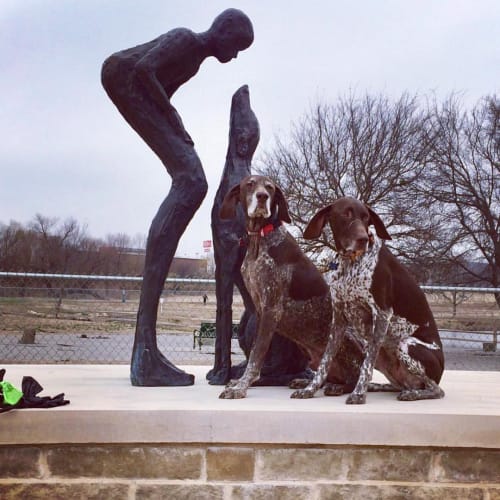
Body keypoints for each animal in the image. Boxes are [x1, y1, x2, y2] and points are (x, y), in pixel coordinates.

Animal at [217, 176, 362, 398]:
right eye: (250, 184)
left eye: (270, 187)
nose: (262, 196)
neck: (260, 238)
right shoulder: (259, 310)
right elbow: (254, 351)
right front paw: (239, 383)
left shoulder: (272, 309)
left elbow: (256, 356)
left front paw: (241, 387)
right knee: (322, 376)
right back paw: (305, 382)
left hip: (342, 341)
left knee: (353, 380)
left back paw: (337, 387)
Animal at [290, 197, 446, 404]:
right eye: (346, 214)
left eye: (366, 218)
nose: (363, 239)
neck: (350, 263)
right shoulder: (338, 318)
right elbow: (325, 361)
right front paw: (309, 389)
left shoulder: (382, 315)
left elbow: (366, 366)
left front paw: (358, 394)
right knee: (398, 384)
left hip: (404, 344)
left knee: (436, 389)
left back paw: (411, 394)